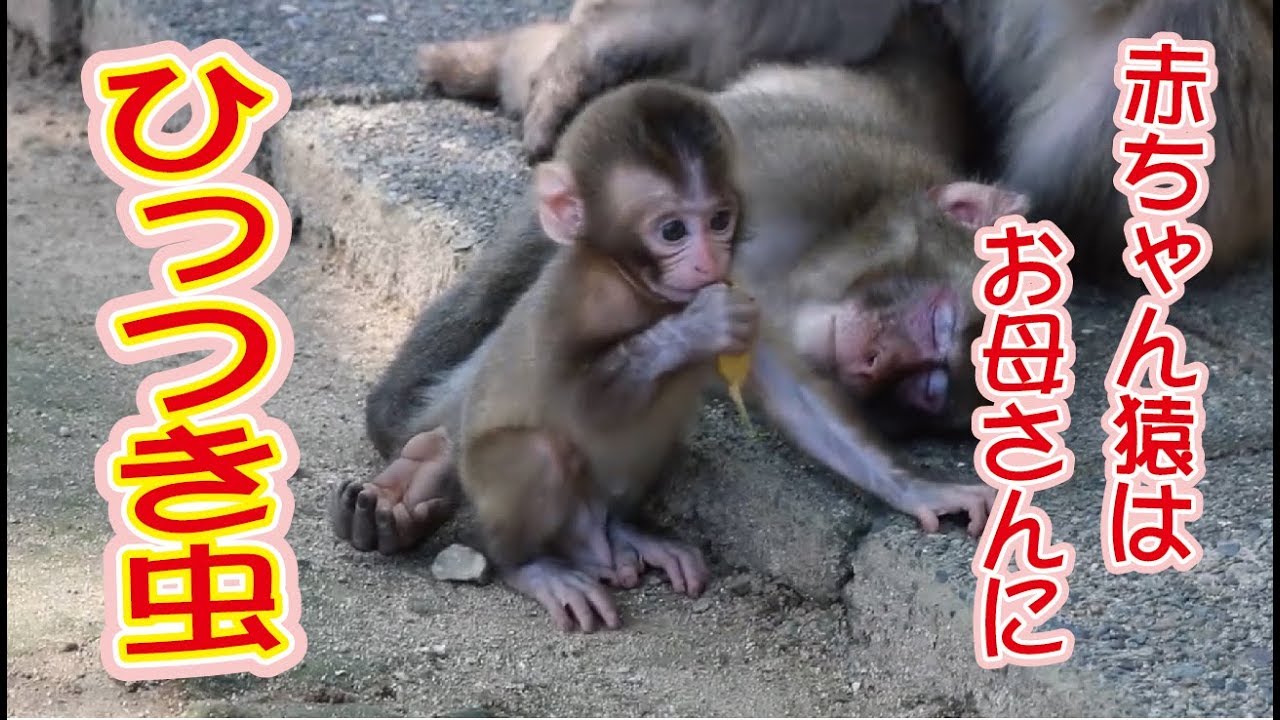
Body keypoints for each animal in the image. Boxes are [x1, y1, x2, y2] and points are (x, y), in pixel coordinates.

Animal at [334, 14, 1011, 560]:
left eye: (925, 390)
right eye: (937, 321)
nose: (875, 362)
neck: (817, 258)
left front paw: (919, 487)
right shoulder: (804, 165)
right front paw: (413, 444)